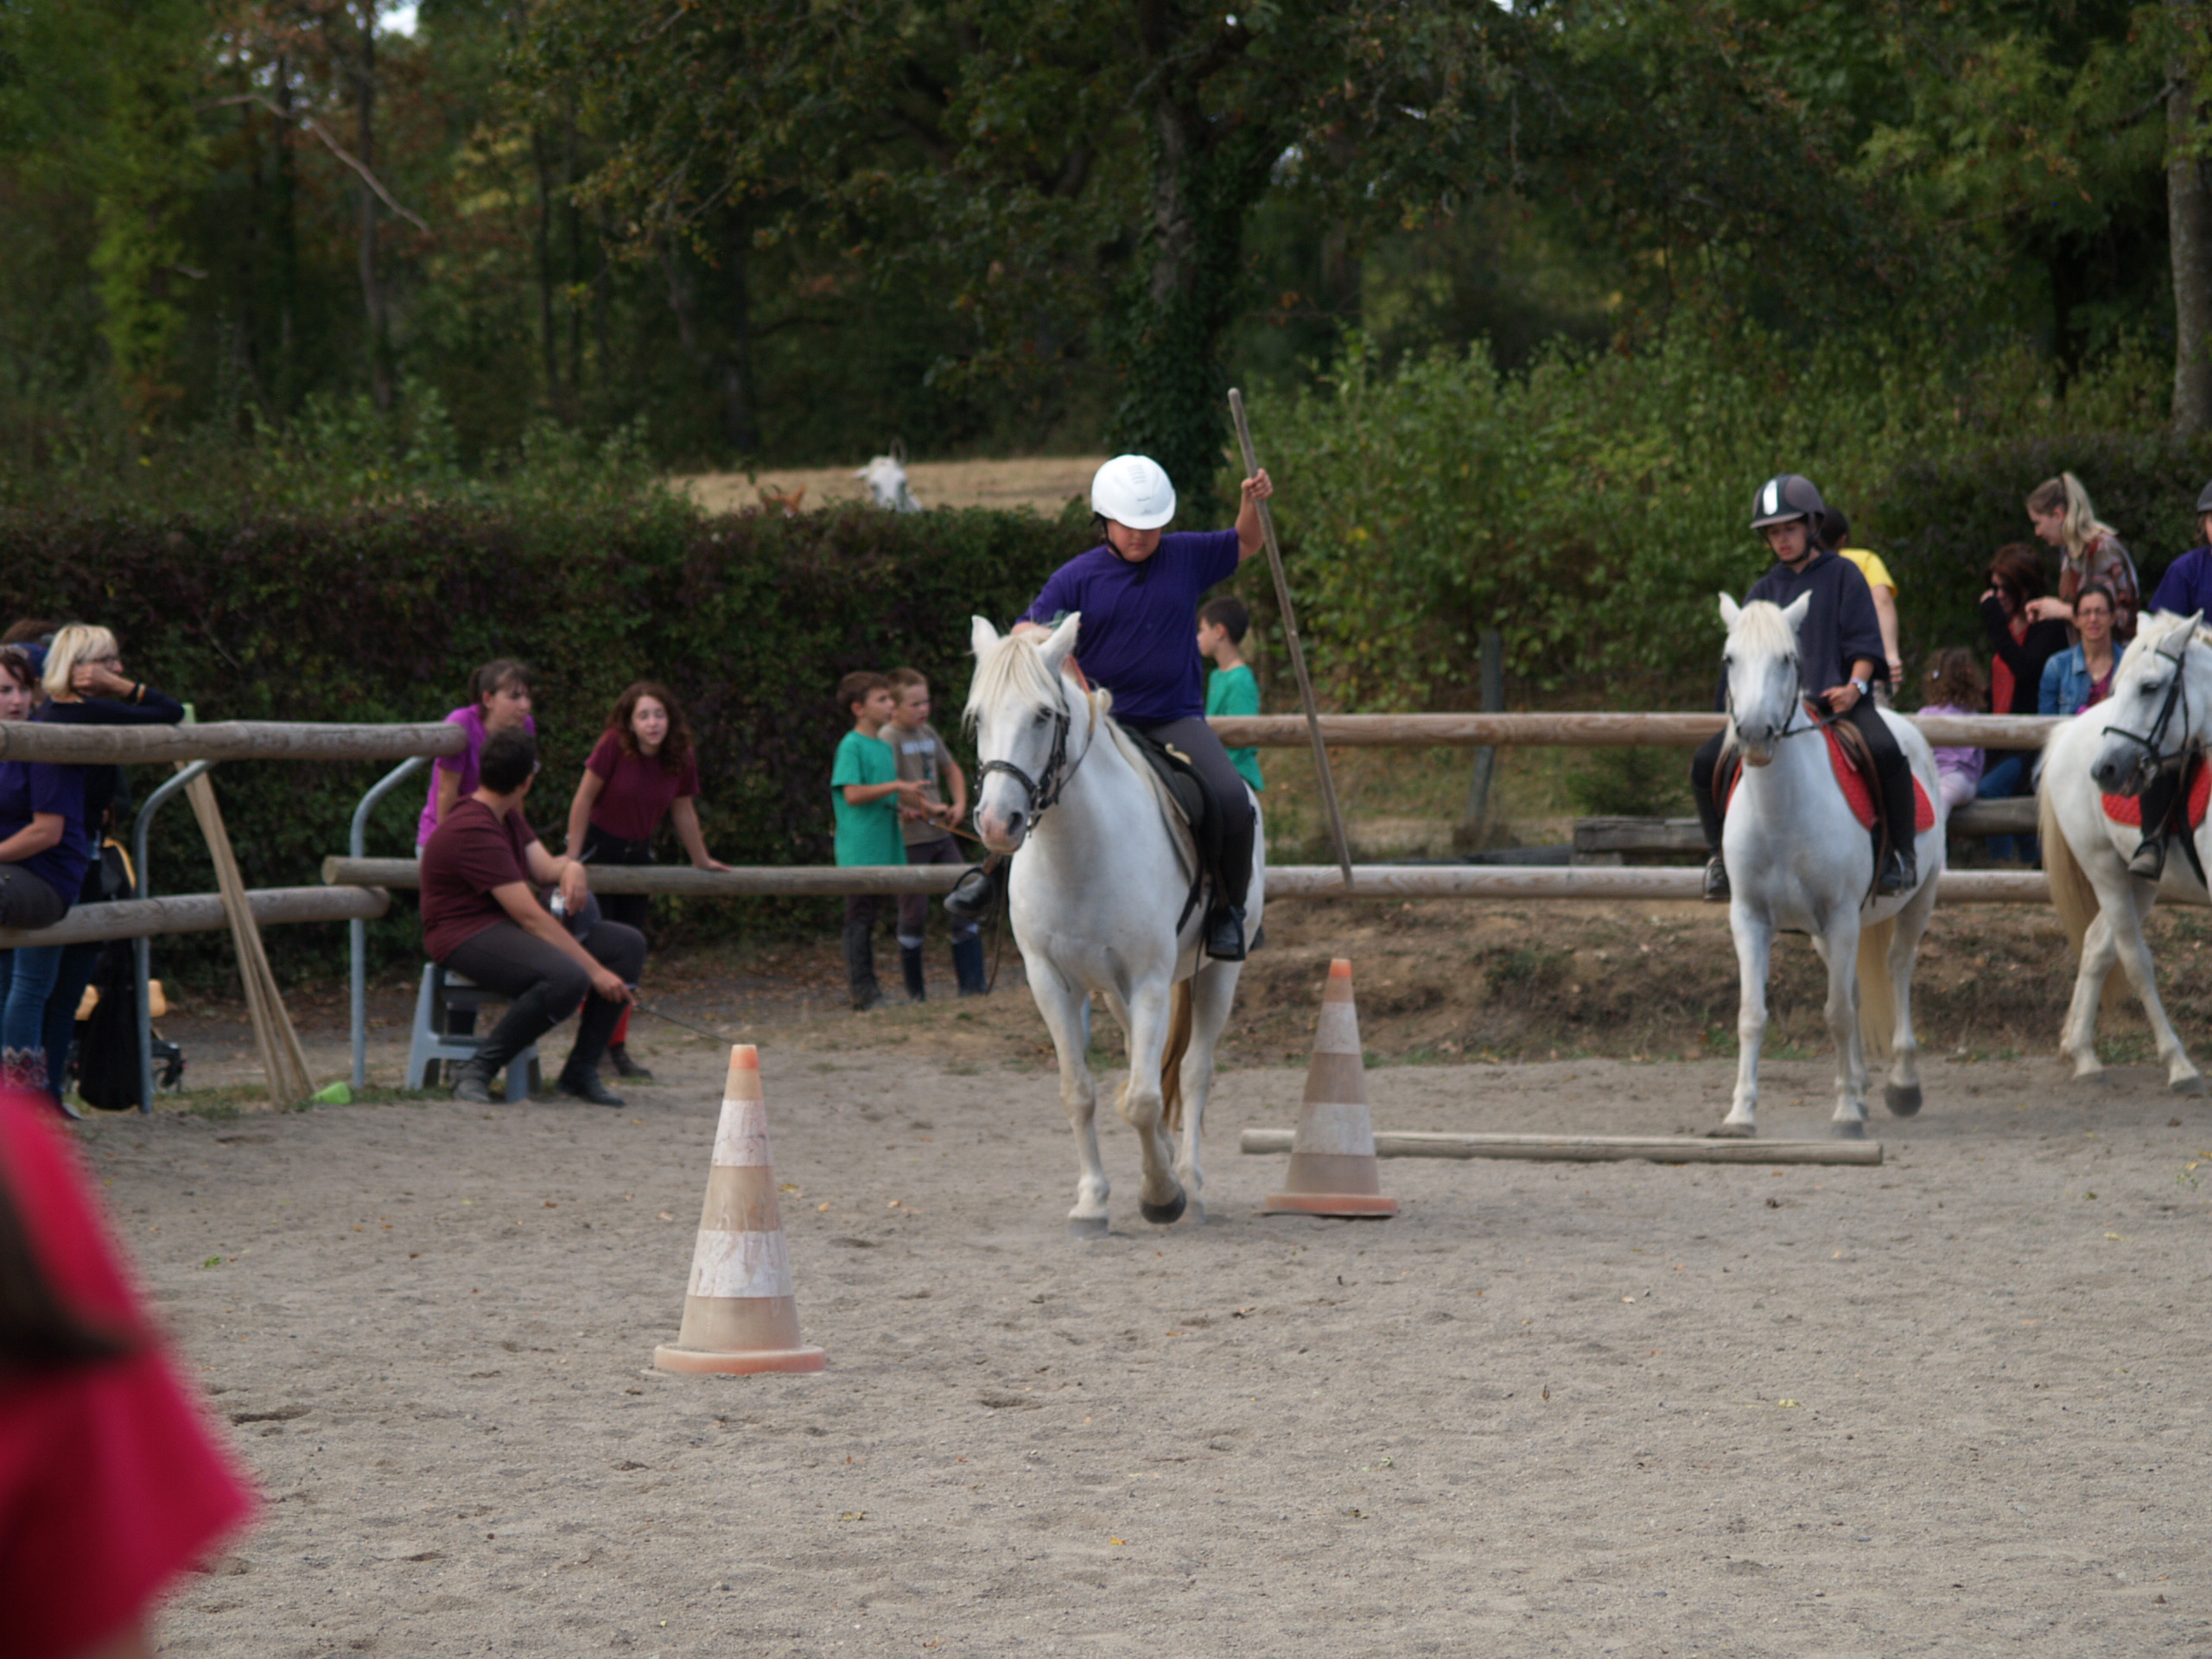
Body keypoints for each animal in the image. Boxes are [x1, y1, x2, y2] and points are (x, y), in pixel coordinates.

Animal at [969, 614, 1265, 1238]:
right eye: (978, 715)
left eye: (1043, 715)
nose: (998, 822)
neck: (1078, 851)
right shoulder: (1052, 982)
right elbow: (1083, 1092)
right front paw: (1092, 1201)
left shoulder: (1150, 979)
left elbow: (1144, 1099)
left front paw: (1162, 1195)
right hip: (1112, 993)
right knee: (1142, 1062)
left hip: (1216, 975)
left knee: (1195, 1072)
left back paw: (1191, 1185)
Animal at [1716, 597, 1946, 1141]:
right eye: (1730, 658)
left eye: (1786, 658)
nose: (1753, 734)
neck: (1781, 814)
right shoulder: (1750, 919)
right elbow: (1752, 1015)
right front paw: (1741, 1115)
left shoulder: (1841, 915)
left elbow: (1837, 1014)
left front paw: (1844, 1116)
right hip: (1826, 933)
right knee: (1859, 990)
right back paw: (1860, 1090)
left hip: (1918, 900)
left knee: (1898, 967)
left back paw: (1902, 1086)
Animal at [2035, 606, 2212, 1096]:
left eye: (2150, 687)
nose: (2106, 770)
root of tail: (2069, 732)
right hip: (2105, 872)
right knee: (2135, 961)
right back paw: (2178, 1065)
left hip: (2140, 882)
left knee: (2097, 947)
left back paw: (2081, 1053)